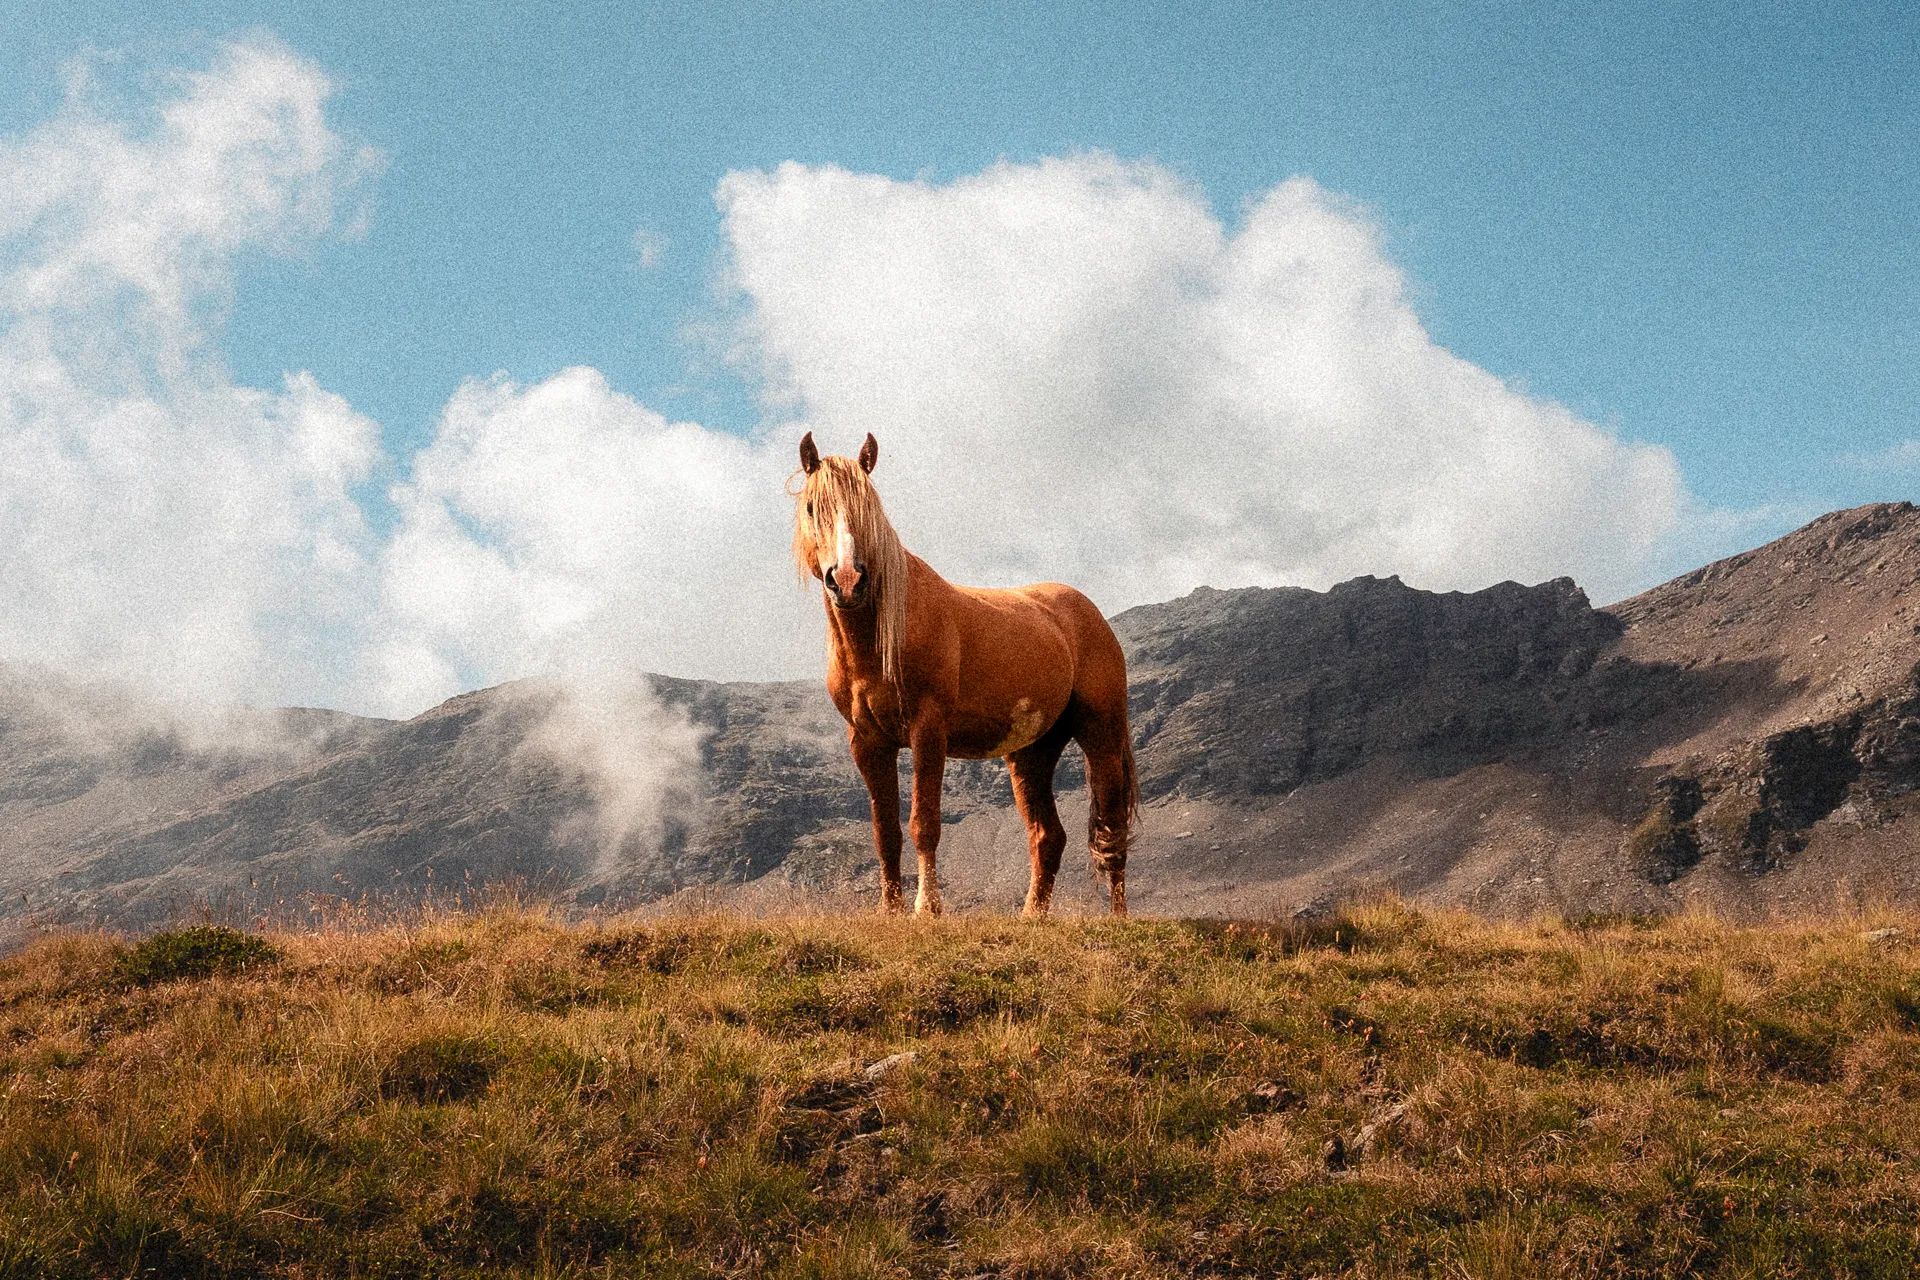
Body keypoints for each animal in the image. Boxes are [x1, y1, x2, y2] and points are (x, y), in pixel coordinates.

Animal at [791, 431, 1138, 916]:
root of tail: (1090, 616)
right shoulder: (868, 742)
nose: (847, 580)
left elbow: (924, 823)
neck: (883, 638)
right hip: (1031, 753)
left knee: (1110, 830)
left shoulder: (928, 730)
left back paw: (1118, 917)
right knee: (1048, 837)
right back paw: (1031, 917)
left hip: (1101, 736)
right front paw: (891, 911)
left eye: (869, 508)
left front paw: (927, 908)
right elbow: (885, 832)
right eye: (811, 507)